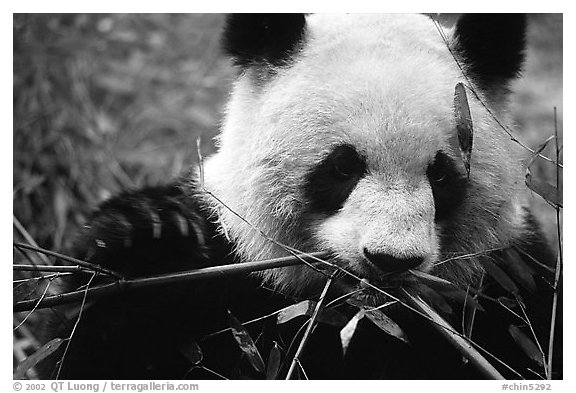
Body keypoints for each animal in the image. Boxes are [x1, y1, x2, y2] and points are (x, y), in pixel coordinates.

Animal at [41, 13, 564, 378]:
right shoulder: (227, 260)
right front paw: (148, 234)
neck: (352, 313)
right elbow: (95, 345)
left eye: (441, 175)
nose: (390, 260)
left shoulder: (508, 280)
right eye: (343, 166)